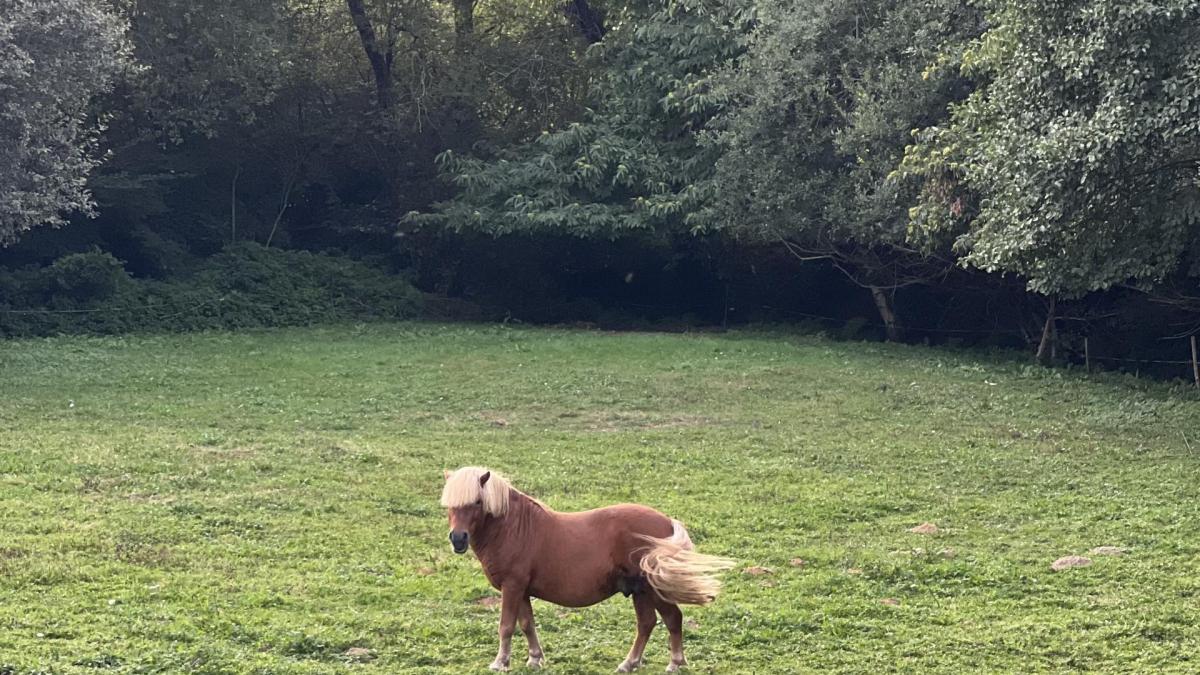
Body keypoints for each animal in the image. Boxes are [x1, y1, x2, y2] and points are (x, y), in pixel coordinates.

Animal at [444, 466, 729, 667]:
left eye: (477, 502)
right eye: (449, 505)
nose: (458, 539)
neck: (514, 528)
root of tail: (667, 523)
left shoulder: (512, 587)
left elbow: (506, 626)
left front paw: (500, 663)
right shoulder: (521, 590)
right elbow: (527, 625)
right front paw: (535, 658)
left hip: (650, 588)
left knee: (671, 618)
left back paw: (674, 663)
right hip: (640, 591)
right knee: (648, 623)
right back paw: (630, 663)